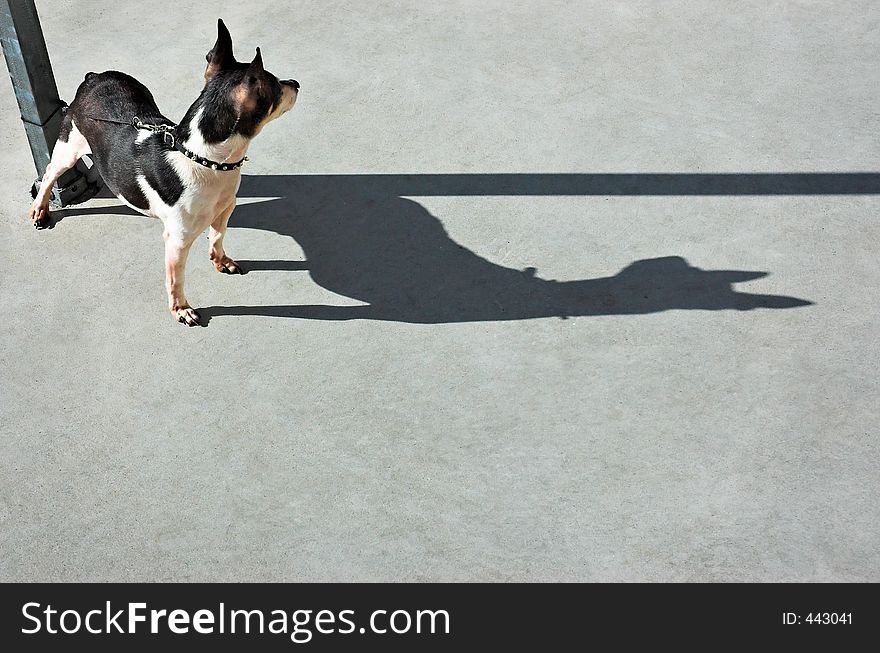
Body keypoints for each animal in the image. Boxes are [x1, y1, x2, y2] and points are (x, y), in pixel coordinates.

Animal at [26, 19, 300, 324]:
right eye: (277, 86)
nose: (296, 83)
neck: (205, 160)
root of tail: (94, 77)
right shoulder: (178, 241)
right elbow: (175, 279)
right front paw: (181, 309)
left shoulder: (225, 210)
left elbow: (218, 237)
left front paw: (221, 261)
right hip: (68, 148)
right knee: (49, 174)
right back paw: (40, 209)